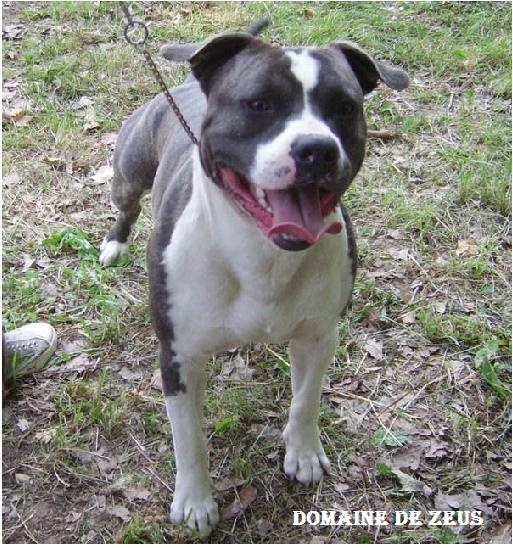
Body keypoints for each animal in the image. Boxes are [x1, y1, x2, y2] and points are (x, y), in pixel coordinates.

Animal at [99, 19, 408, 536]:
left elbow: (306, 399)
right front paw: (195, 501)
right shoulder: (178, 357)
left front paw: (302, 453)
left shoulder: (318, 335)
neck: (262, 254)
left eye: (344, 108)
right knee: (126, 206)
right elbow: (189, 439)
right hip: (129, 173)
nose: (316, 149)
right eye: (259, 104)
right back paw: (113, 243)